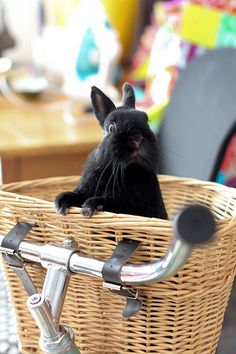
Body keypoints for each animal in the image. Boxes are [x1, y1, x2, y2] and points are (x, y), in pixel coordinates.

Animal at [55, 84, 168, 220]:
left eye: (147, 121)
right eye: (111, 128)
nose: (137, 138)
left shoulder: (133, 208)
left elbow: (112, 202)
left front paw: (90, 206)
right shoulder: (85, 191)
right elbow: (77, 195)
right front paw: (61, 203)